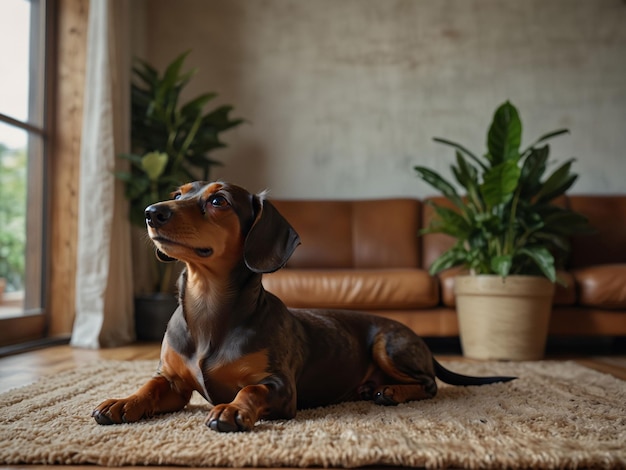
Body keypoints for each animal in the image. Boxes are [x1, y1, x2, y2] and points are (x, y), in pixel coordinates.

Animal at [91, 182, 512, 432]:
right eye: (178, 195)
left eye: (218, 201)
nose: (151, 212)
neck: (208, 308)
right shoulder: (173, 383)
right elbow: (149, 386)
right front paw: (123, 402)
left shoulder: (280, 386)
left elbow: (250, 391)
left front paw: (230, 409)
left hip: (388, 344)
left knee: (428, 384)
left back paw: (391, 391)